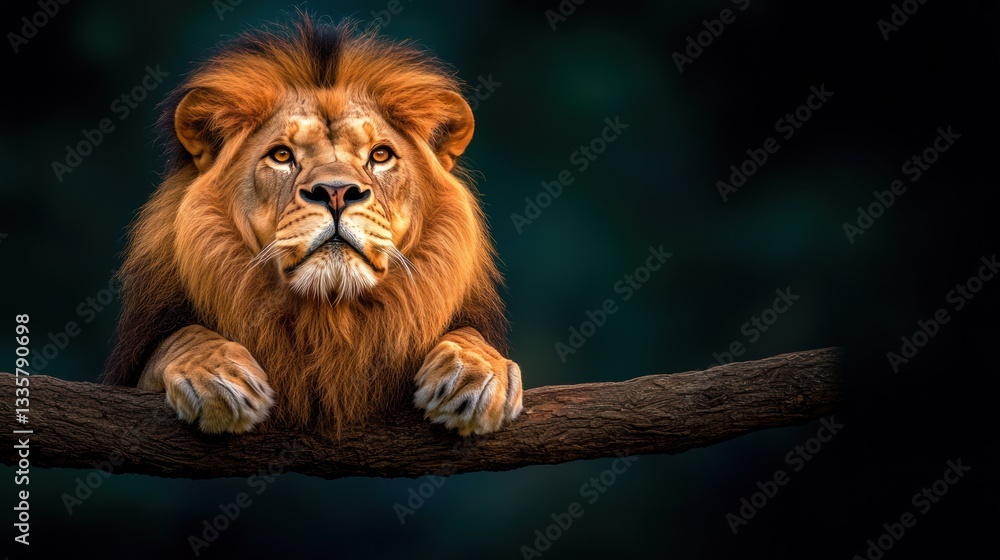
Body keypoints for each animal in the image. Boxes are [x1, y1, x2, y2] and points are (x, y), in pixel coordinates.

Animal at [102, 16, 523, 437]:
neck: (329, 313)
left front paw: (475, 373)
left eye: (380, 155)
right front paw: (217, 376)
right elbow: (176, 340)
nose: (335, 192)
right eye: (282, 155)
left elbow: (469, 335)